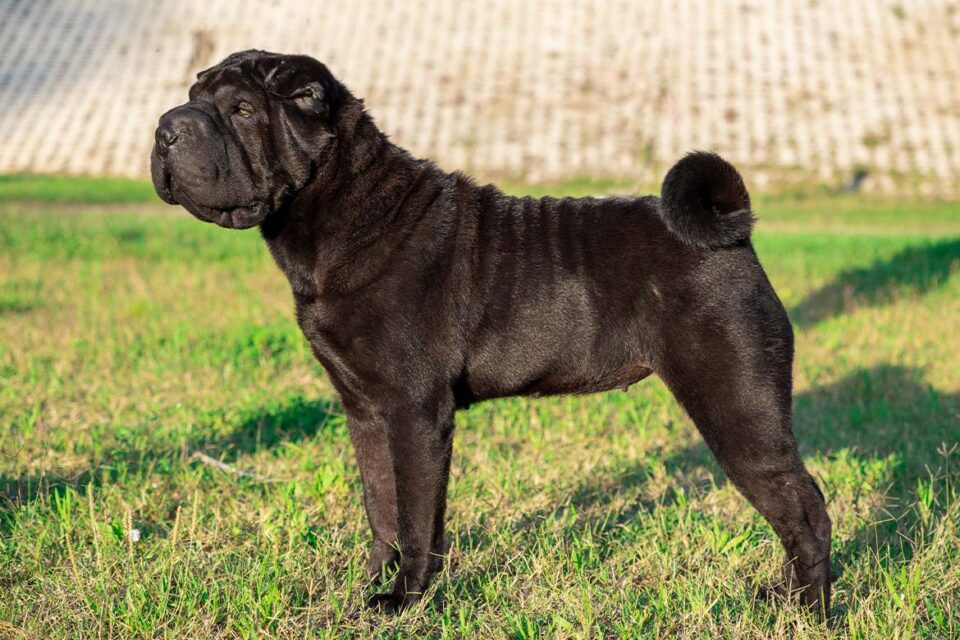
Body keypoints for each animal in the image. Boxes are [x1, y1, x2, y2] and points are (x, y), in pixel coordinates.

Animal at [152, 48, 832, 616]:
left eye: (241, 110)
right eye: (192, 93)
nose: (165, 128)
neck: (341, 212)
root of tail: (734, 226)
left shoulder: (414, 411)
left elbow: (417, 516)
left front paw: (405, 600)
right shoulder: (365, 410)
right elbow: (381, 508)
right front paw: (370, 586)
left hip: (736, 406)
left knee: (803, 507)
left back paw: (809, 611)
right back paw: (785, 598)